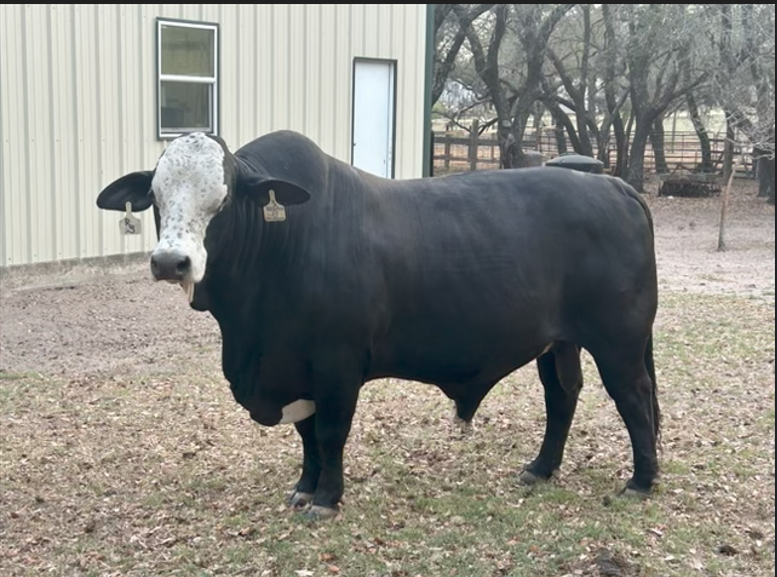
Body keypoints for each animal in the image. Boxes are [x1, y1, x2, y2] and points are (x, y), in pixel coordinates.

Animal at [95, 130, 661, 521]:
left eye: (225, 196)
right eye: (156, 196)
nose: (172, 261)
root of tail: (613, 185)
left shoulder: (337, 363)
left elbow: (329, 432)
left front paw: (327, 498)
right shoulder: (297, 369)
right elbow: (306, 435)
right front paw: (304, 488)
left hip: (619, 340)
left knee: (634, 398)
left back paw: (641, 480)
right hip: (558, 342)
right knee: (562, 395)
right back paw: (540, 468)